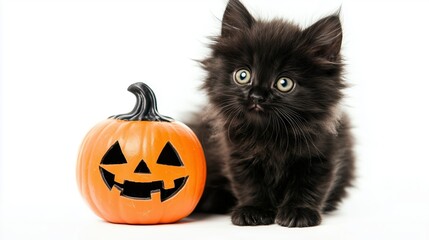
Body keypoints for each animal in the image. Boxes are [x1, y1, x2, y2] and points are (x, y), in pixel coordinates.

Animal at [189, 0, 352, 227]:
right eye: (243, 75)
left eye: (284, 83)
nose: (257, 96)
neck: (270, 133)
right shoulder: (238, 155)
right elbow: (250, 185)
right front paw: (254, 210)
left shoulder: (322, 154)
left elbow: (309, 186)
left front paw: (299, 212)